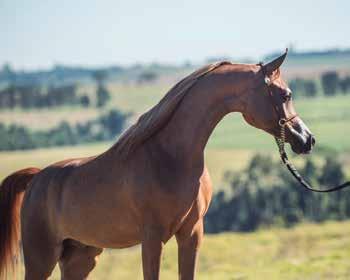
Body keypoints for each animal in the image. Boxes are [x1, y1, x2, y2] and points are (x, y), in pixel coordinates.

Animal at [0, 50, 314, 280]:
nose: (307, 139)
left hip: (80, 257)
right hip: (41, 258)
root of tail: (37, 178)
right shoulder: (153, 240)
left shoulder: (191, 235)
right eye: (285, 94)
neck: (171, 157)